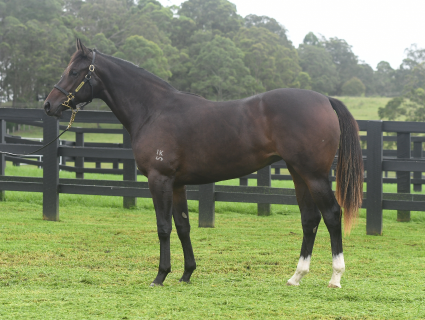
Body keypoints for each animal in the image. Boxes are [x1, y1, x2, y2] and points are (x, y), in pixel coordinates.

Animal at [42, 39, 362, 288]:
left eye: (74, 71)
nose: (48, 105)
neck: (154, 110)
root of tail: (324, 99)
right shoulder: (177, 185)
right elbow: (183, 226)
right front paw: (186, 274)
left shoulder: (159, 180)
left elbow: (163, 227)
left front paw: (160, 276)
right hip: (298, 173)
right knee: (310, 219)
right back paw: (296, 276)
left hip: (314, 175)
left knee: (332, 215)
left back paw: (335, 277)